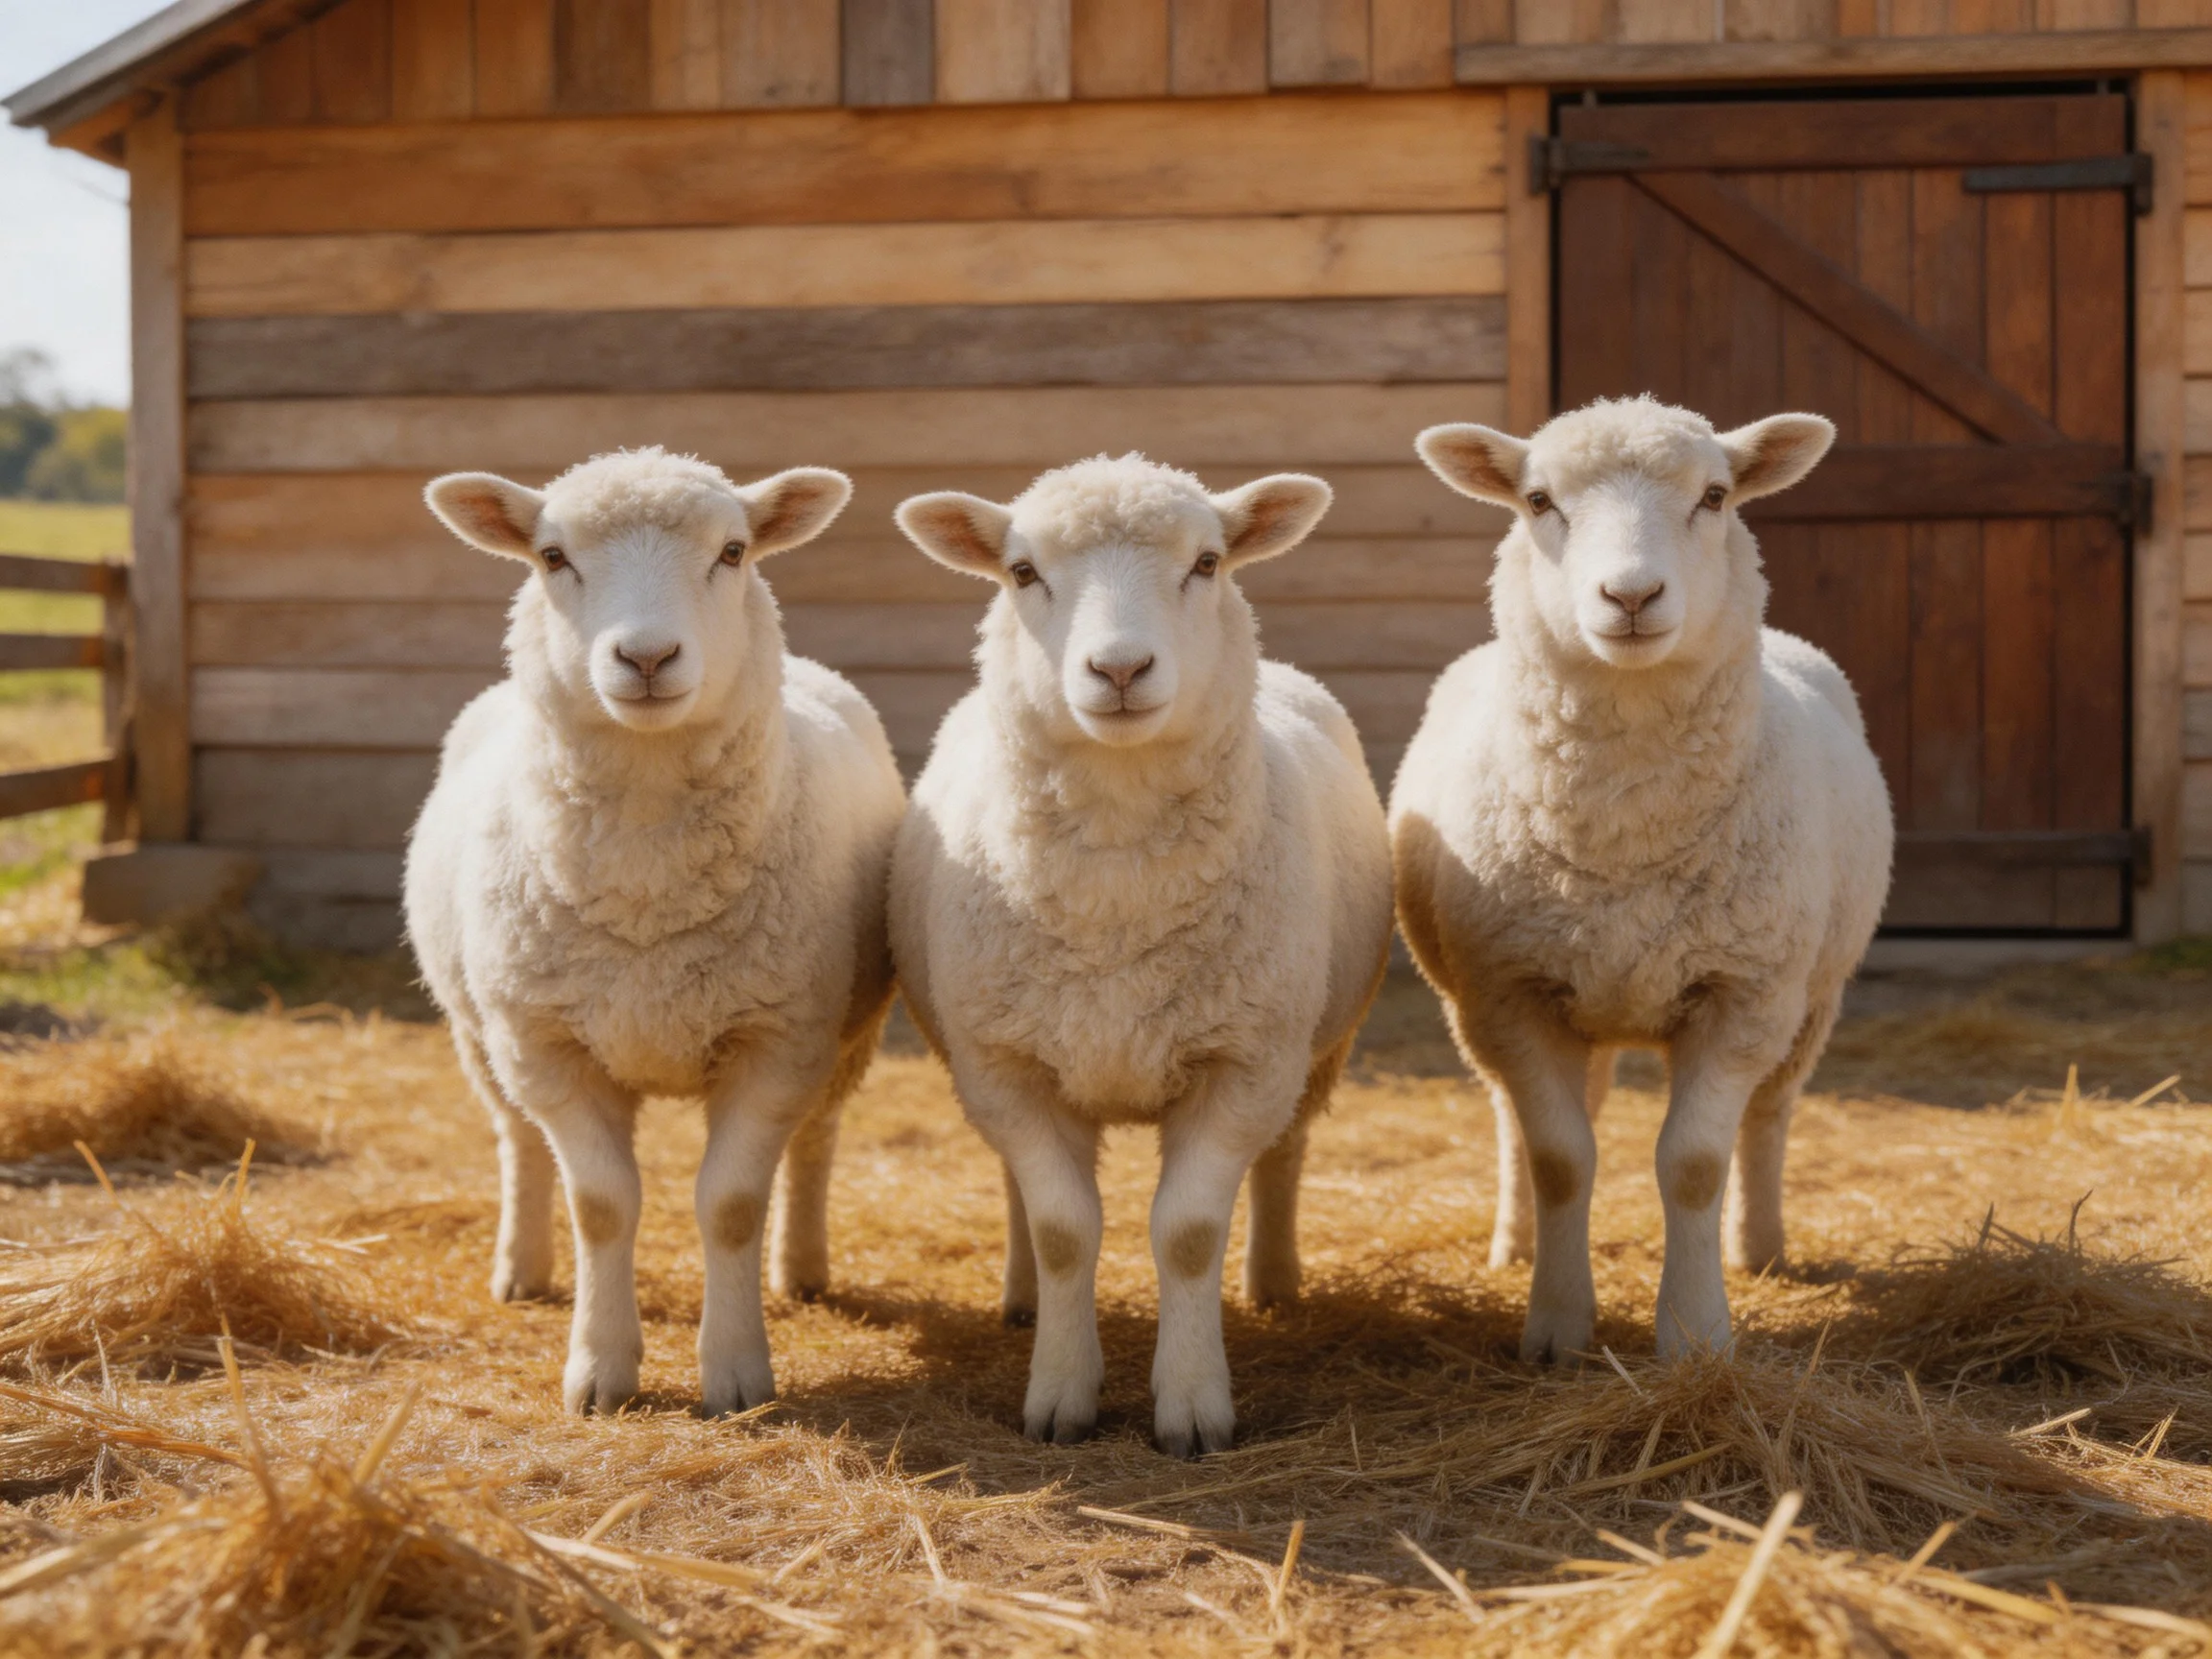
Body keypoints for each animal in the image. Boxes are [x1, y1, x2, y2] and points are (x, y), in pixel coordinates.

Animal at [405, 447, 905, 1415]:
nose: (645, 656)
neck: (646, 879)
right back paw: (521, 1268)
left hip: (846, 1034)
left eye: (734, 551)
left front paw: (737, 1371)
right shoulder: (549, 1046)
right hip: (482, 1035)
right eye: (552, 556)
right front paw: (600, 1371)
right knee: (517, 1142)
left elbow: (732, 1206)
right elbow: (600, 1205)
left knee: (816, 1139)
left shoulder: (775, 1041)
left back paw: (803, 1269)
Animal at [888, 454, 1394, 1456]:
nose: (1119, 668)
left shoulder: (1244, 1061)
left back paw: (1274, 1283)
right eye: (1022, 572)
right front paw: (1060, 1394)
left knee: (1285, 1154)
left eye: (1207, 562)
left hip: (1312, 1047)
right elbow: (1063, 1232)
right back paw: (1021, 1300)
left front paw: (1193, 1407)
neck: (1118, 897)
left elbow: (1189, 1233)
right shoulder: (1005, 1065)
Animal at [1389, 396, 1892, 1363]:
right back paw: (1515, 1244)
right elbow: (1560, 1159)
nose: (1630, 598)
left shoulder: (1742, 992)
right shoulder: (1509, 990)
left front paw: (1696, 1334)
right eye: (1538, 500)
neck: (1626, 833)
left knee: (1770, 1115)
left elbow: (1693, 1164)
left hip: (1811, 996)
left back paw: (1761, 1248)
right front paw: (1555, 1324)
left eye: (1715, 496)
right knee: (1520, 1122)